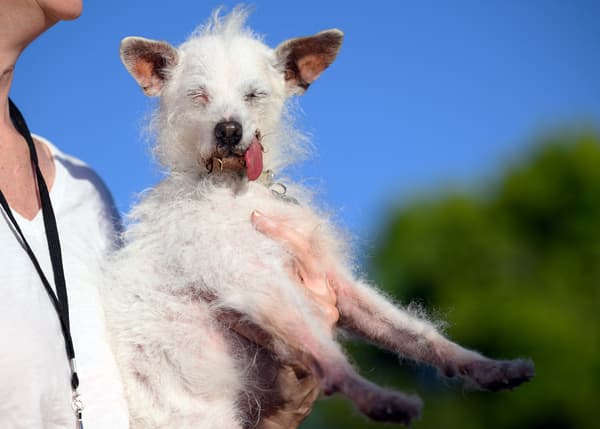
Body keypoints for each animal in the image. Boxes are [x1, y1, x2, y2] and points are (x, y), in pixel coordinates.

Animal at [103, 7, 536, 428]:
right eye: (198, 95)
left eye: (253, 95)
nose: (228, 130)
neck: (234, 187)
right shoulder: (254, 281)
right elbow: (326, 354)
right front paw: (377, 398)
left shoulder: (335, 280)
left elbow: (414, 333)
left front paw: (487, 367)